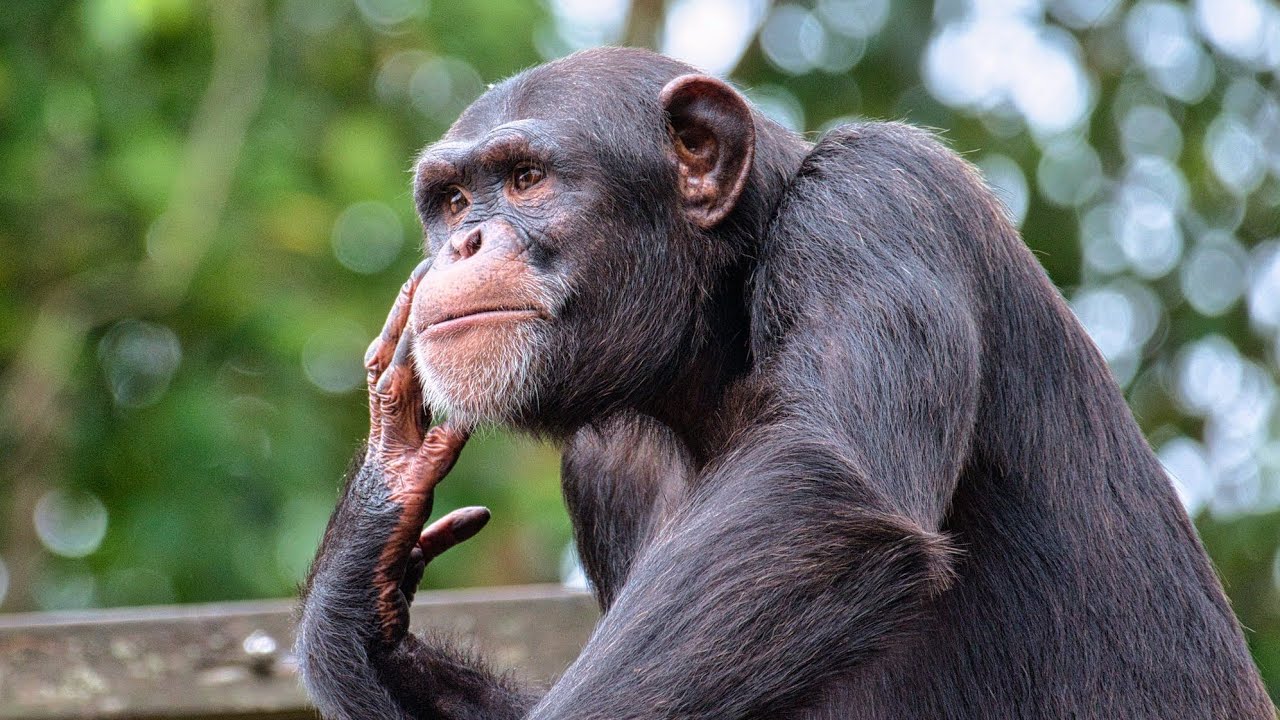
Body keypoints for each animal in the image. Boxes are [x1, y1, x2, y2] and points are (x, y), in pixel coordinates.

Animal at [295, 47, 1275, 719]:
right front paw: (370, 550)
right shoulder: (603, 466)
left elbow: (820, 493)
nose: (462, 243)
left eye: (527, 179)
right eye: (455, 200)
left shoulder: (877, 201)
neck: (713, 347)